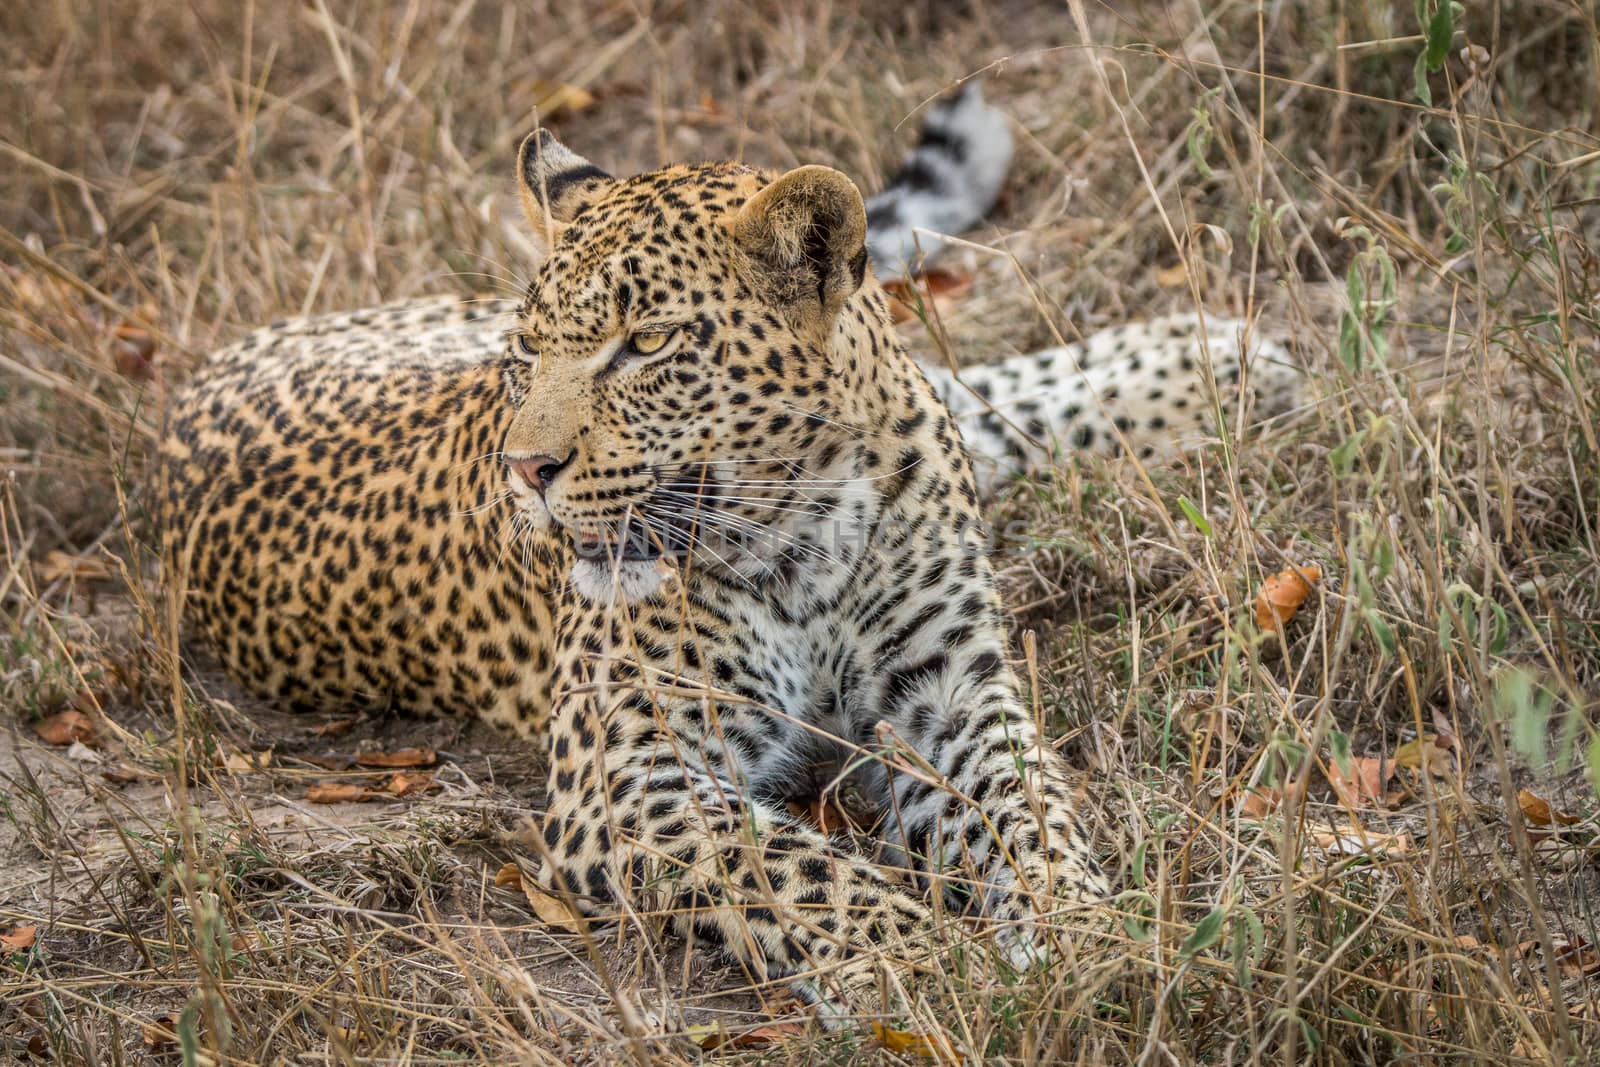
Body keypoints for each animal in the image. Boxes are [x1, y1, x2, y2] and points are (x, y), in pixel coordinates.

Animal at [152, 91, 1299, 1017]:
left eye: (648, 344)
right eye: (528, 354)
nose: (524, 468)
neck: (810, 519)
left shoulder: (950, 690)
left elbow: (1031, 814)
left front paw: (1087, 935)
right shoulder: (627, 769)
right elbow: (798, 868)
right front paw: (937, 972)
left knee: (970, 393)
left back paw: (1218, 359)